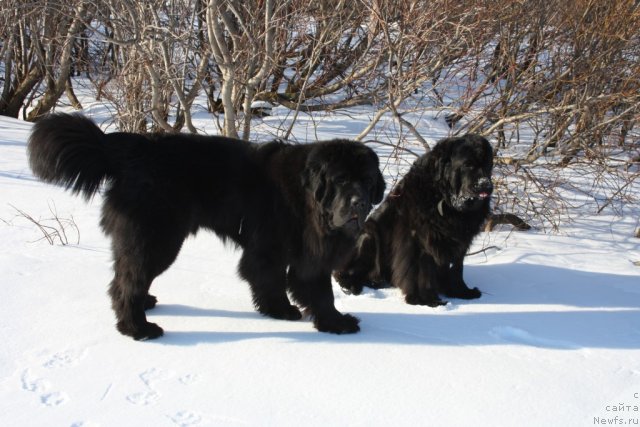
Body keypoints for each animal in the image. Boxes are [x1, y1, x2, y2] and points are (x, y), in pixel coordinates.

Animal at [27, 113, 382, 342]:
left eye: (367, 182)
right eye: (340, 180)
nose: (359, 203)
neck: (309, 199)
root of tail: (137, 148)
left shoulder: (304, 255)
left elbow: (302, 287)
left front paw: (309, 317)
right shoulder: (277, 251)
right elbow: (292, 286)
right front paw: (311, 317)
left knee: (125, 276)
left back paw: (145, 305)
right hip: (157, 238)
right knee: (127, 282)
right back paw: (138, 329)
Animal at [336, 135, 496, 306]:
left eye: (487, 165)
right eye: (468, 165)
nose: (486, 185)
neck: (445, 199)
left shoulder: (461, 240)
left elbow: (457, 268)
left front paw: (461, 292)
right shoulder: (417, 240)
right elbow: (419, 270)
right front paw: (424, 299)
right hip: (369, 234)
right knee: (345, 273)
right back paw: (357, 284)